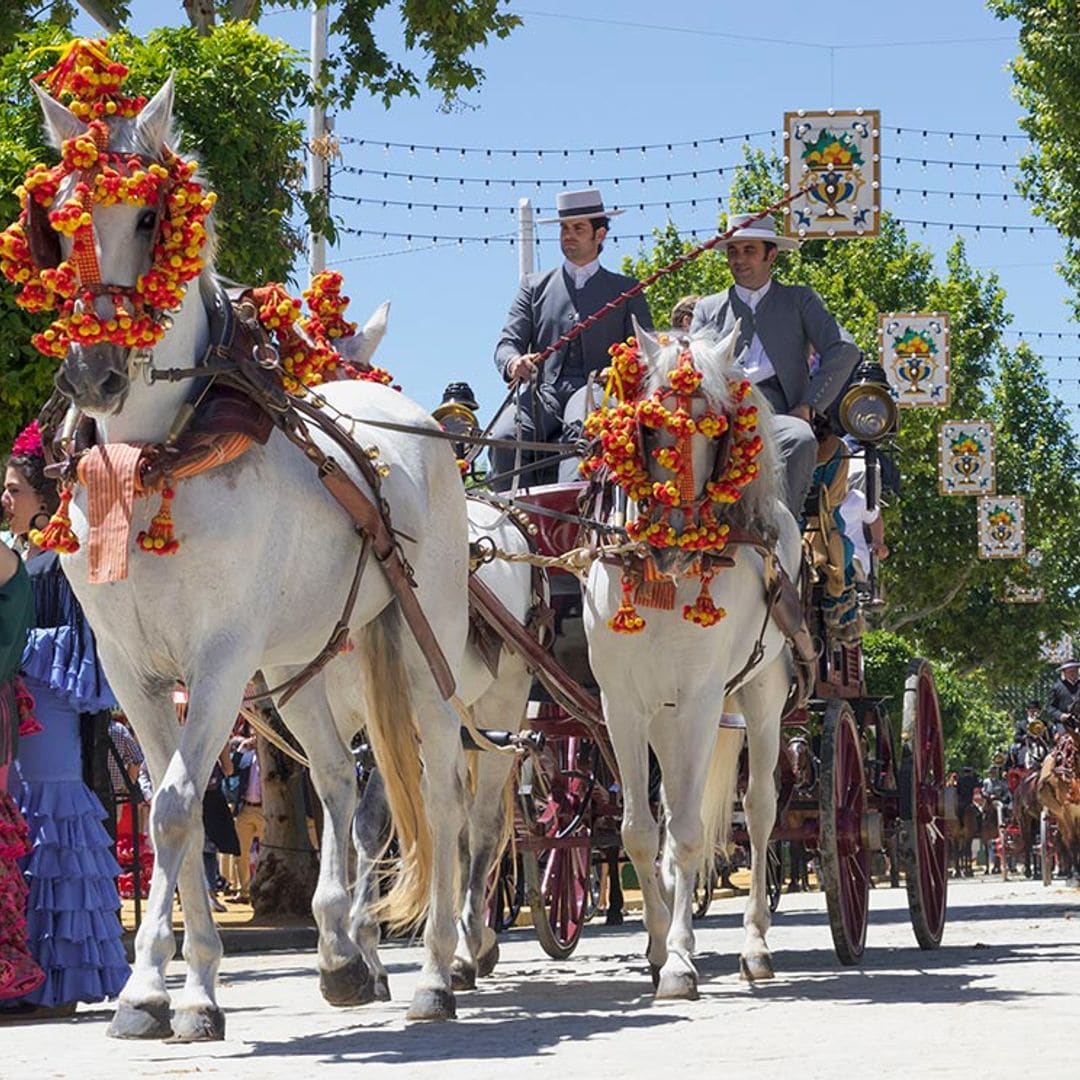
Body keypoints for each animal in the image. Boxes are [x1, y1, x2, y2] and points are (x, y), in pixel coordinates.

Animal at [32, 78, 468, 1036]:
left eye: (151, 216)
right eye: (61, 217)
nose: (91, 374)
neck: (155, 460)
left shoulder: (221, 658)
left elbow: (175, 806)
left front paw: (172, 990)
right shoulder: (131, 668)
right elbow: (178, 813)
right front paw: (167, 988)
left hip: (426, 642)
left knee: (443, 791)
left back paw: (435, 975)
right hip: (304, 662)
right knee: (340, 781)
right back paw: (342, 956)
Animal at [583, 324, 803, 997]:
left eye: (718, 430)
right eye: (649, 427)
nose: (676, 543)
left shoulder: (704, 700)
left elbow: (686, 831)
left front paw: (679, 961)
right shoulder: (622, 705)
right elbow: (637, 829)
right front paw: (658, 946)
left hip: (758, 696)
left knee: (757, 811)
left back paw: (755, 945)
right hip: (665, 713)